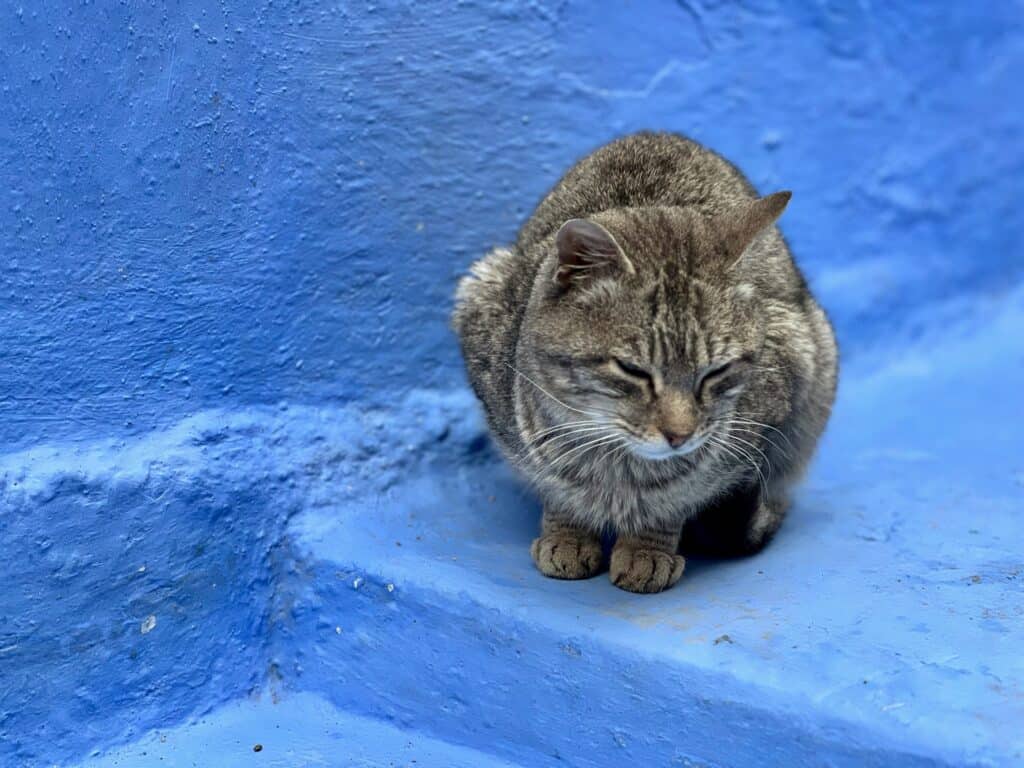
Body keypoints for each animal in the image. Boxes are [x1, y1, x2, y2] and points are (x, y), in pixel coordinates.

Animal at [452, 132, 835, 593]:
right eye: (633, 370)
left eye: (716, 372)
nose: (679, 435)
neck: (615, 463)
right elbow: (556, 485)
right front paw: (567, 534)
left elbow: (678, 497)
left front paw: (647, 550)